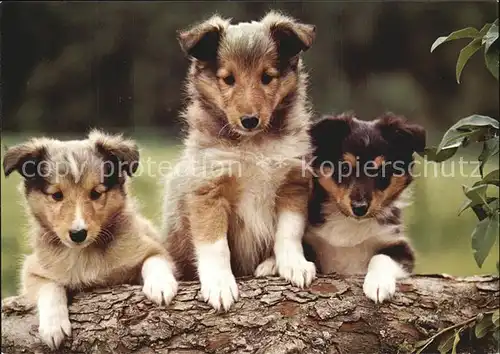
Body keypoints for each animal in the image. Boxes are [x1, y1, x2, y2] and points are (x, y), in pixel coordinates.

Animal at [2, 131, 179, 350]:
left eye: (96, 193)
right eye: (56, 195)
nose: (78, 234)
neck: (85, 253)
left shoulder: (149, 246)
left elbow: (154, 260)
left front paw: (160, 286)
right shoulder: (33, 268)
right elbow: (49, 287)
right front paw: (53, 326)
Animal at [164, 10, 318, 310]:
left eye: (267, 77)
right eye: (228, 79)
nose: (249, 120)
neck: (253, 143)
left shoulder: (292, 182)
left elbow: (289, 231)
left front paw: (294, 265)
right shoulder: (207, 189)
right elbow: (215, 246)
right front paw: (219, 284)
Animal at [258, 114, 426, 304]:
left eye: (382, 172)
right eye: (344, 167)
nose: (359, 208)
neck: (349, 222)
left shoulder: (399, 245)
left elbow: (381, 257)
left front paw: (378, 284)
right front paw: (272, 263)